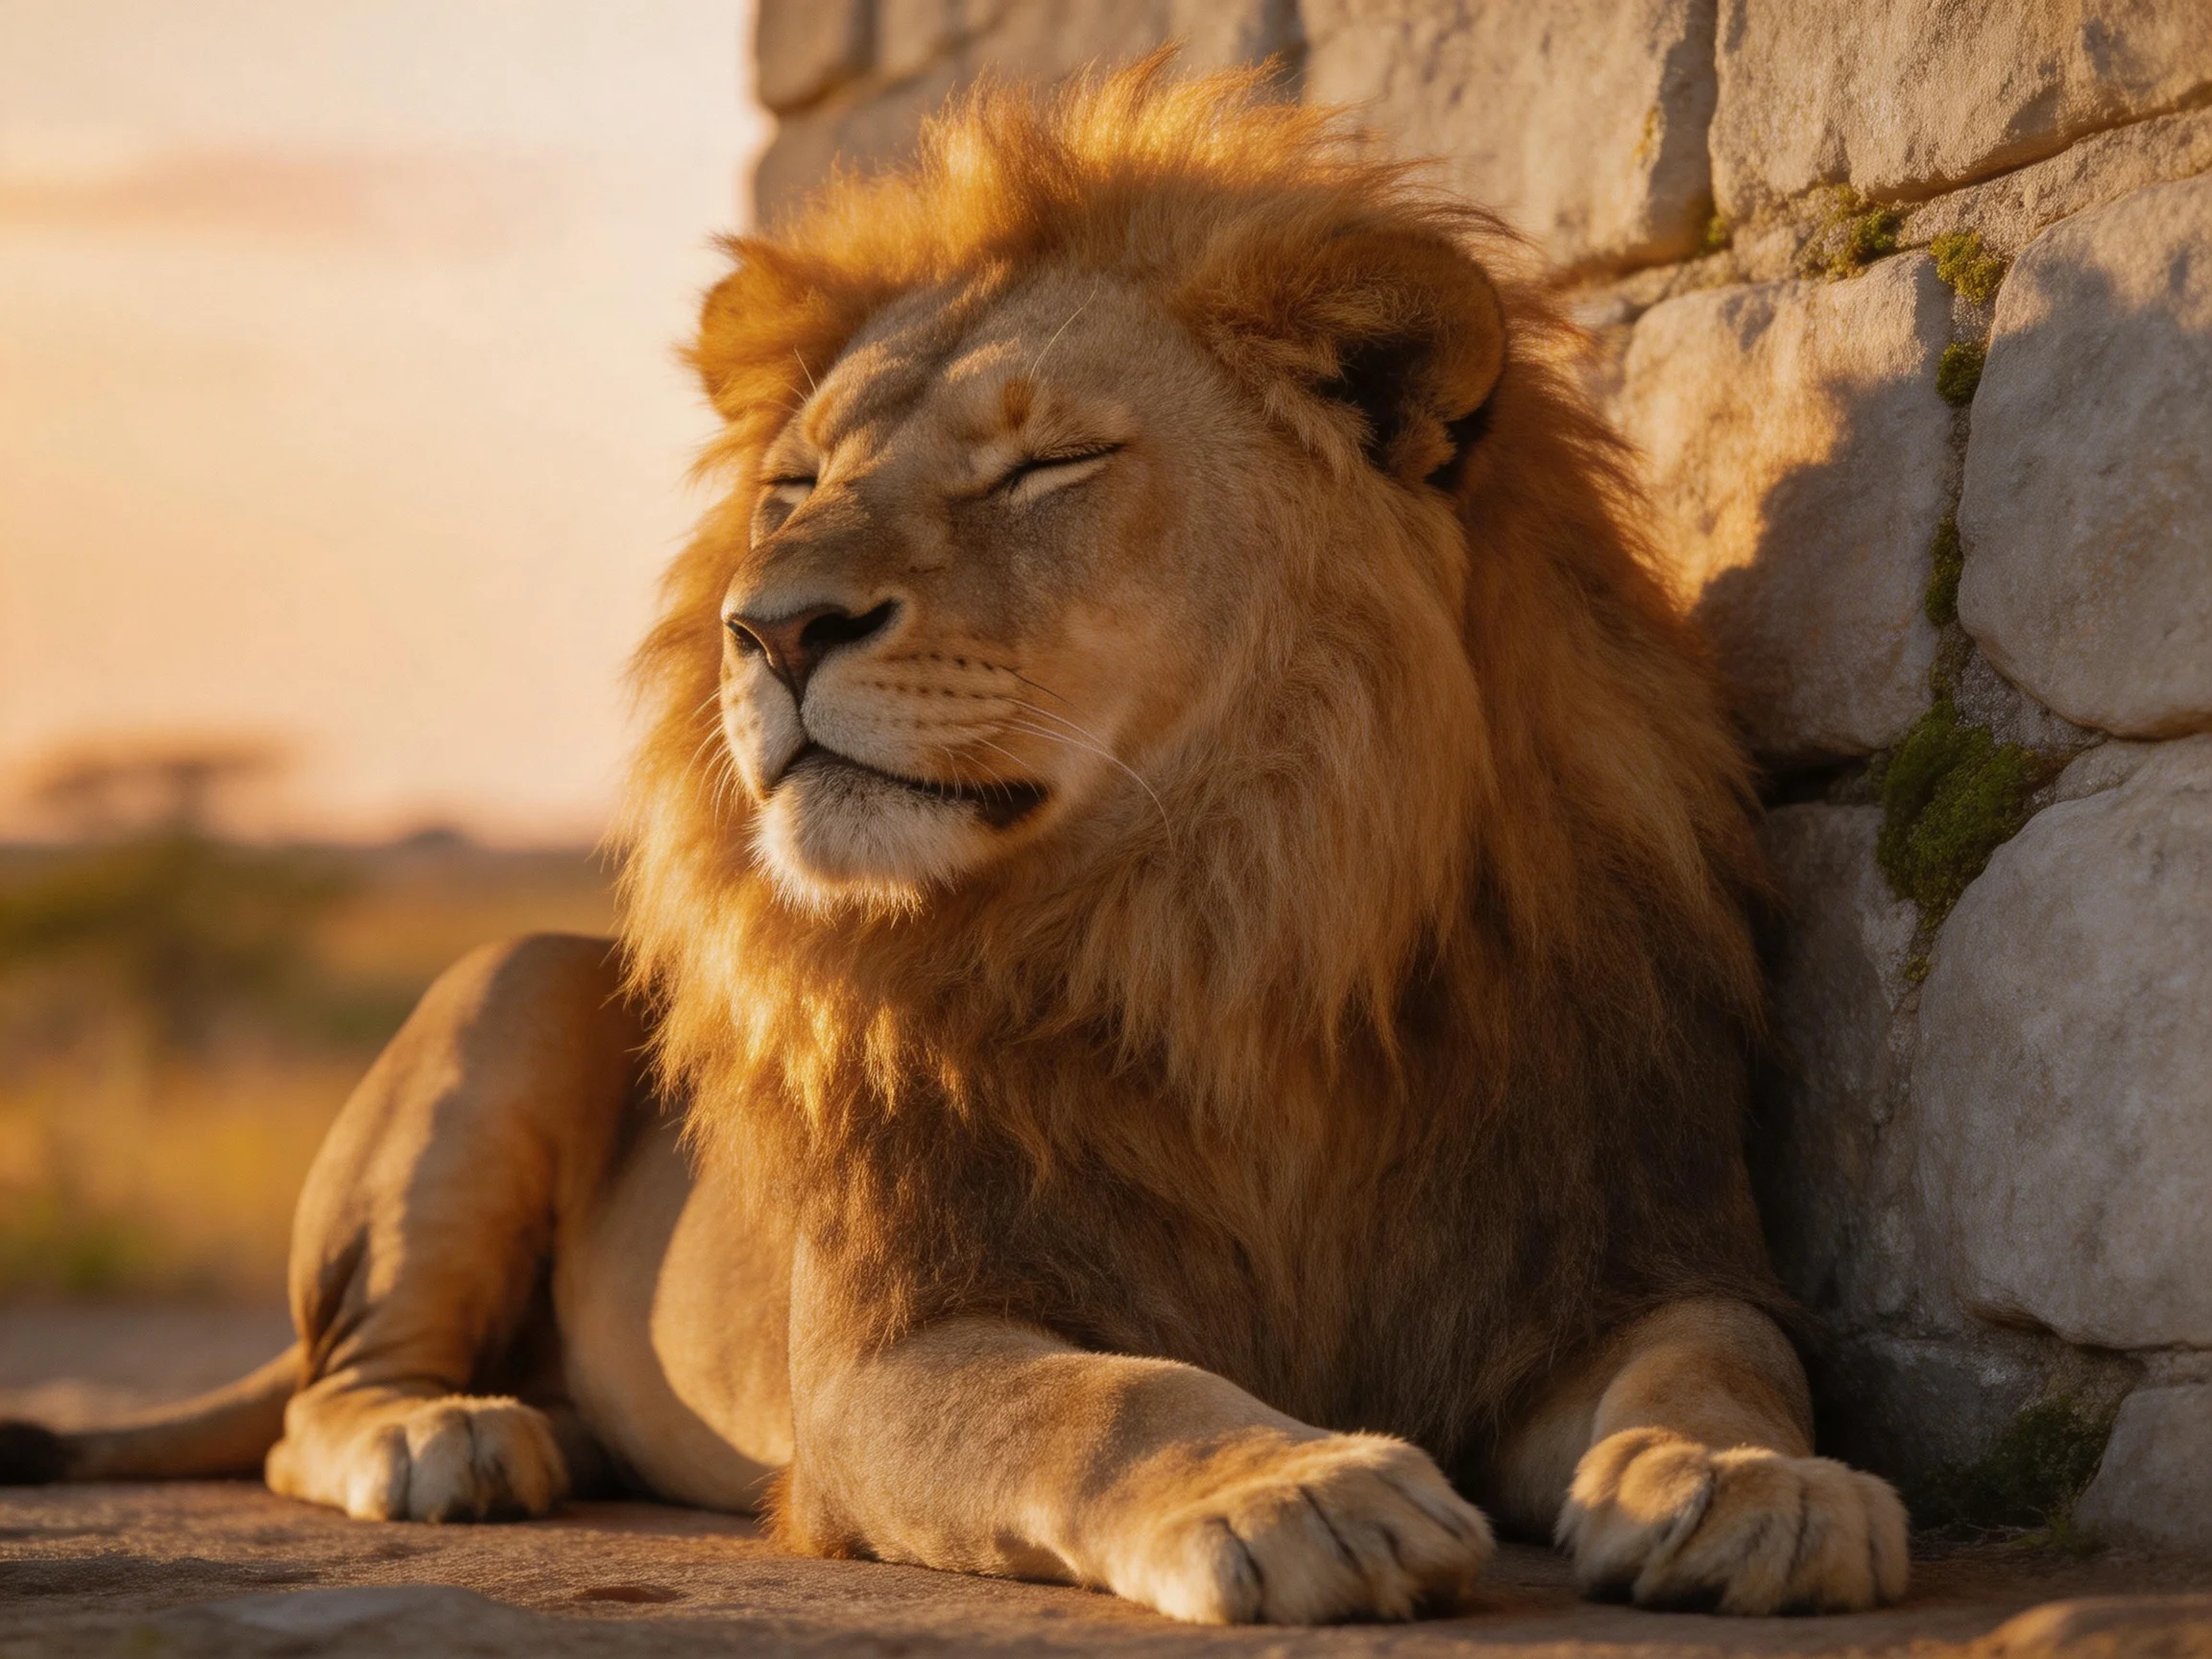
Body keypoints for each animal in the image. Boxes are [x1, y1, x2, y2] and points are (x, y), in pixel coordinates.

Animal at [0, 60, 1909, 1623]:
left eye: (1043, 466)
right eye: (792, 487)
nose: (769, 628)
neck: (1224, 918)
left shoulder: (1619, 1250)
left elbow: (1721, 1364)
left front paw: (1757, 1486)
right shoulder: (888, 1356)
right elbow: (1106, 1395)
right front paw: (1298, 1486)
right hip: (513, 985)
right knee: (319, 1392)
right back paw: (455, 1434)